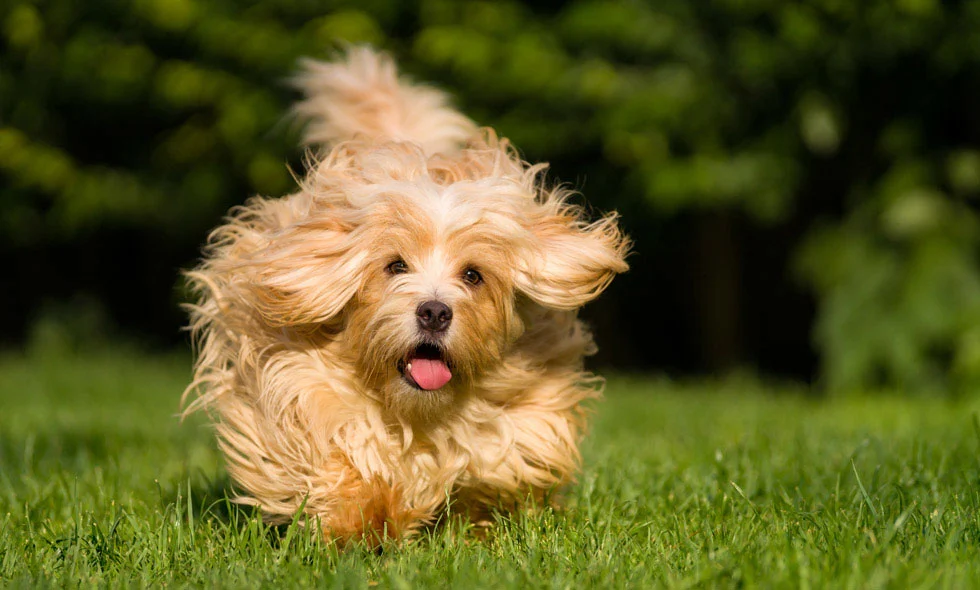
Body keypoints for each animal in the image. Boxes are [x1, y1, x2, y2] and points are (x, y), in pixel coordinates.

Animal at [183, 48, 628, 548]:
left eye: (473, 275)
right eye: (395, 265)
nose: (434, 311)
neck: (419, 413)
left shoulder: (527, 419)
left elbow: (495, 469)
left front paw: (473, 522)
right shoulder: (298, 387)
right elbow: (339, 453)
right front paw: (363, 519)